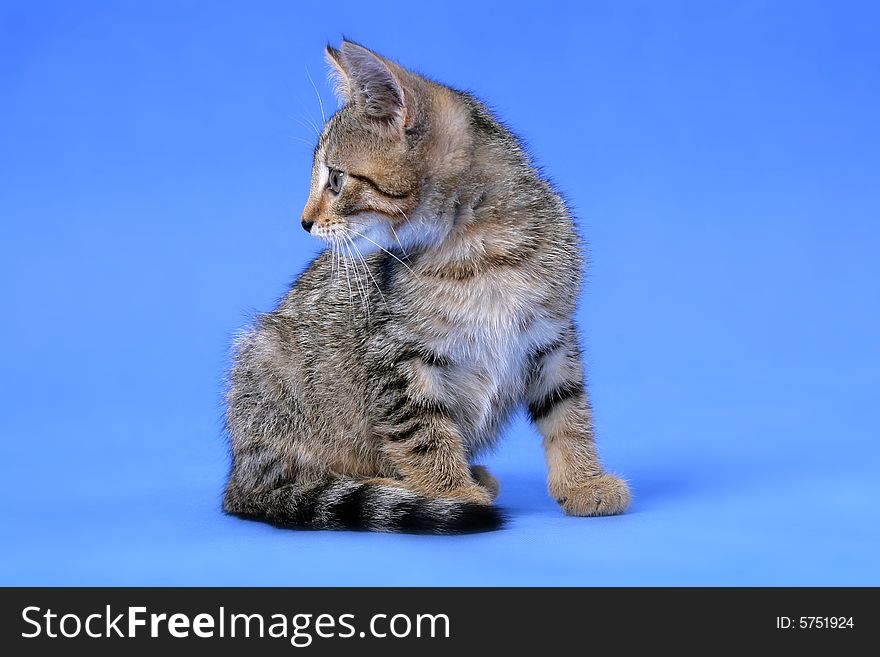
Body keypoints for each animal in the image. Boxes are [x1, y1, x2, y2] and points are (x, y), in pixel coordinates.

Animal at [223, 41, 628, 532]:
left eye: (336, 179)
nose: (303, 221)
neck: (478, 254)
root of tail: (239, 476)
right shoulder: (395, 359)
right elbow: (422, 431)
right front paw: (451, 493)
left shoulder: (553, 337)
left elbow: (567, 411)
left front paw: (583, 481)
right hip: (263, 359)